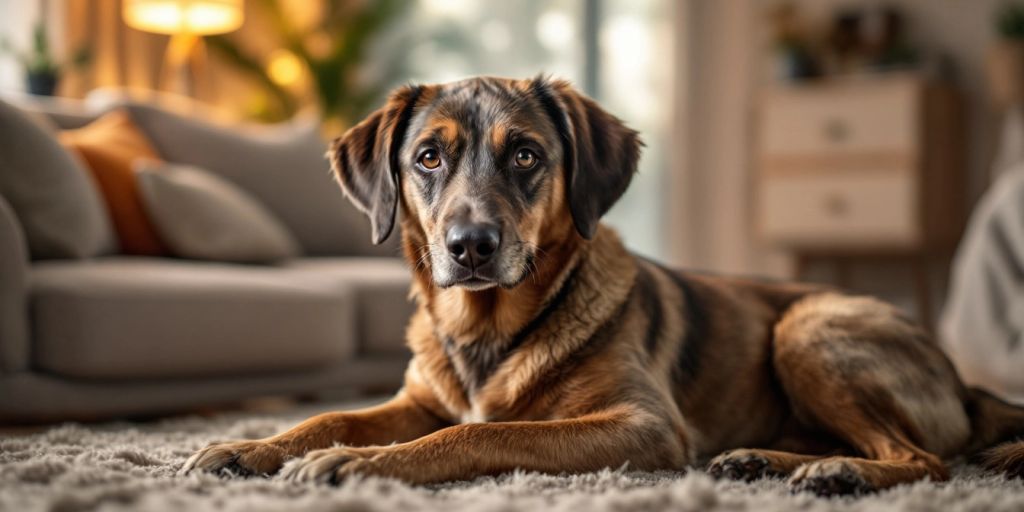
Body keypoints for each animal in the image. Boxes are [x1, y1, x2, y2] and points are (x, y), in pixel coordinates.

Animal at [182, 75, 1024, 495]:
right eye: (427, 157)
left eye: (525, 154)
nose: (470, 246)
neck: (487, 331)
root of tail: (960, 379)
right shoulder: (413, 401)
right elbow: (328, 417)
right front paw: (248, 447)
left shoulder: (642, 425)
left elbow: (484, 432)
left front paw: (360, 467)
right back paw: (763, 462)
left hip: (811, 326)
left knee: (926, 462)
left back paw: (838, 472)